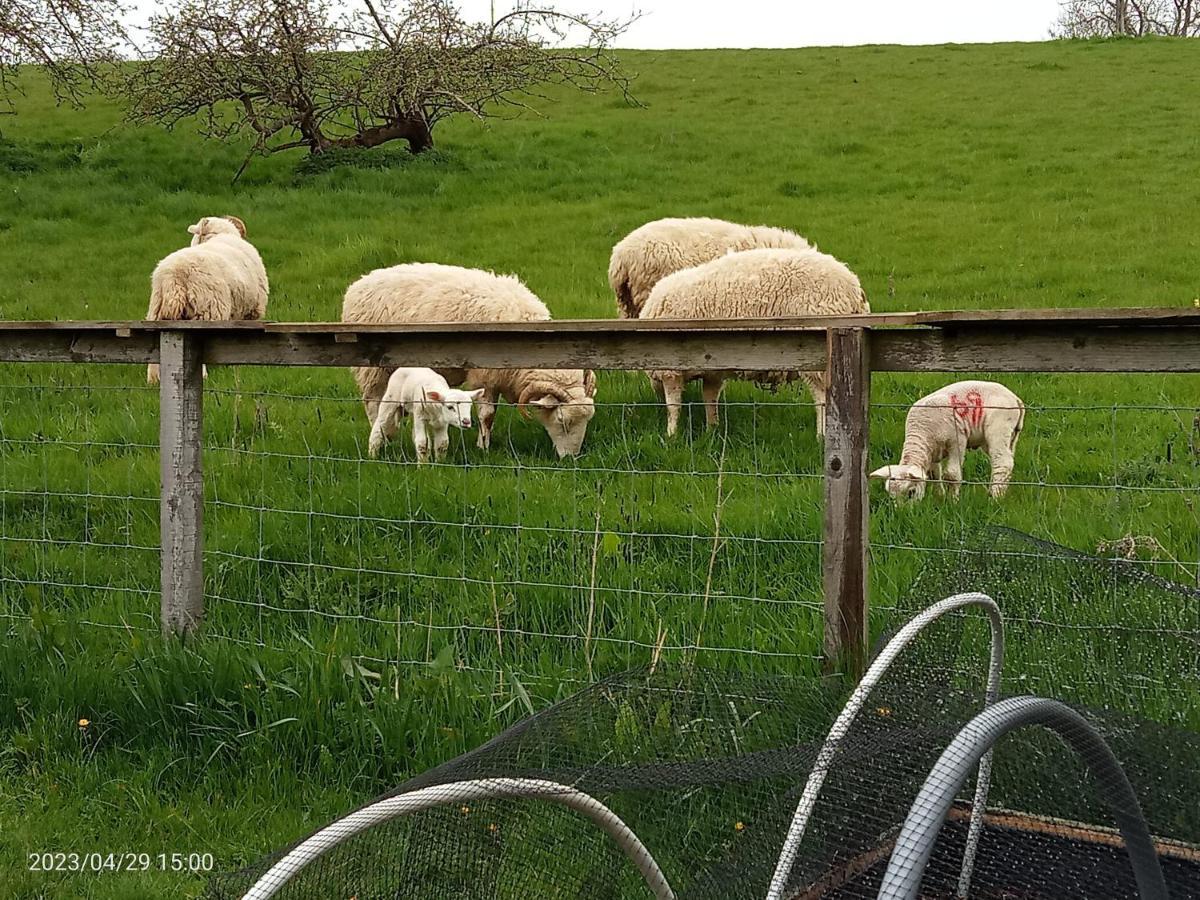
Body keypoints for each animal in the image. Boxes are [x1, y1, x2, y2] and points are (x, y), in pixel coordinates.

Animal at [145, 219, 270, 388]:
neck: (218, 236)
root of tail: (174, 275)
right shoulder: (250, 314)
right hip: (206, 311)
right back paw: (202, 375)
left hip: (157, 310)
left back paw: (153, 380)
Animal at [340, 260, 597, 458]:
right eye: (562, 421)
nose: (571, 458)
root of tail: (357, 285)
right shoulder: (485, 375)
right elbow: (487, 415)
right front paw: (483, 447)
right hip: (371, 369)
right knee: (372, 402)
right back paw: (381, 434)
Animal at [643, 250, 868, 441]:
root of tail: (853, 289)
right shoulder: (712, 371)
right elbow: (710, 399)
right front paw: (712, 430)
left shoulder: (671, 370)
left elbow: (673, 406)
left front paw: (671, 435)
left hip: (817, 356)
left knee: (823, 400)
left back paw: (822, 437)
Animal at [868, 381, 1027, 504]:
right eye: (891, 497)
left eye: (911, 492)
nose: (903, 514)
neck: (921, 431)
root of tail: (1015, 398)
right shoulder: (932, 452)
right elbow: (933, 475)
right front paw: (940, 496)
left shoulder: (957, 441)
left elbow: (951, 475)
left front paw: (952, 502)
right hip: (1011, 436)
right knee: (1008, 460)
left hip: (999, 428)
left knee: (1002, 462)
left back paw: (995, 498)